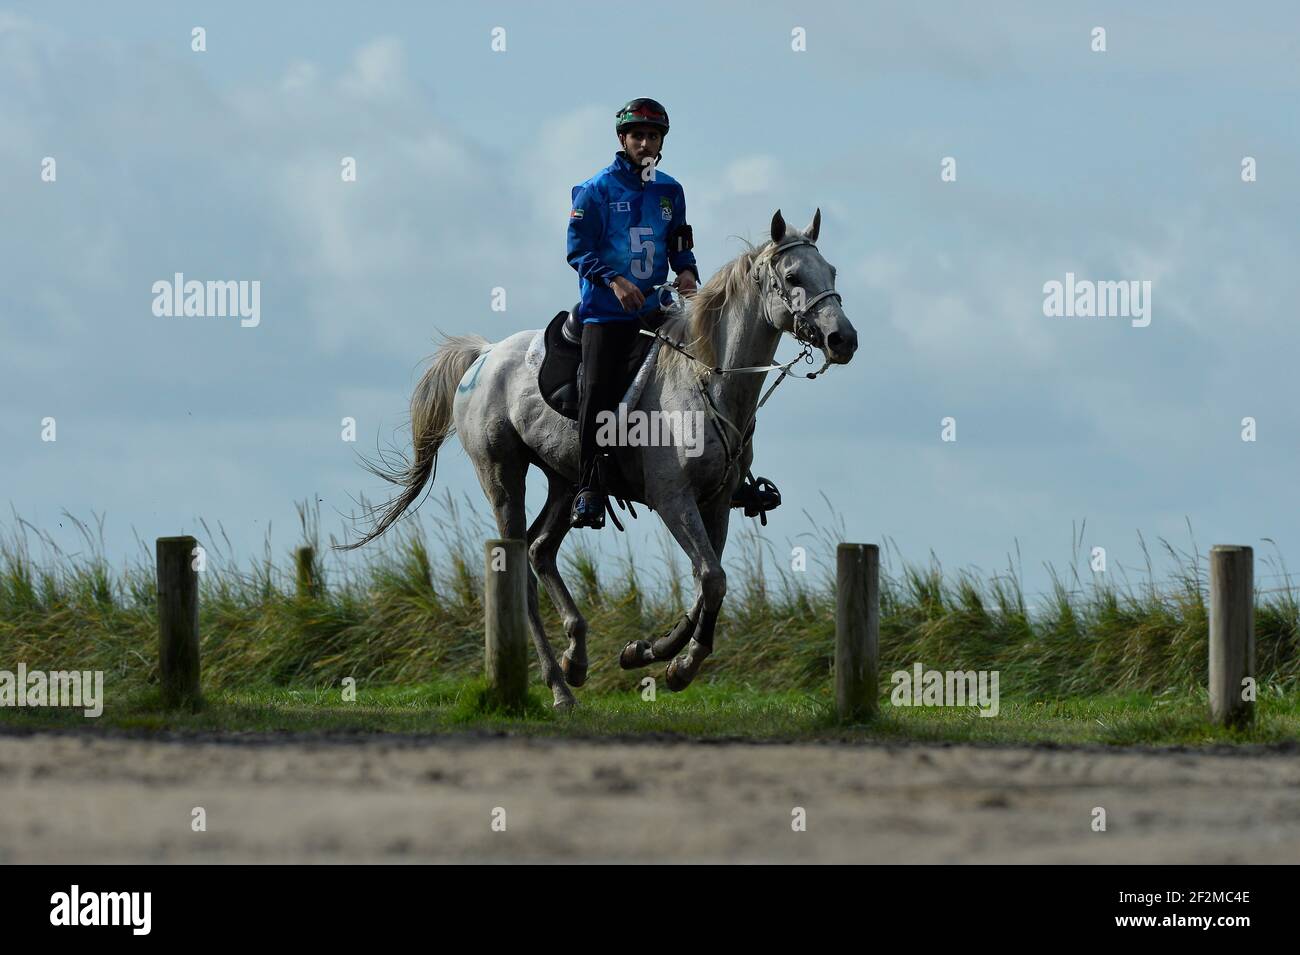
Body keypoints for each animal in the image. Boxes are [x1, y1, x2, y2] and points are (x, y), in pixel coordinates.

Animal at [340, 213, 857, 706]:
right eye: (792, 276)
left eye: (830, 271)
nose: (843, 340)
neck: (707, 378)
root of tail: (484, 355)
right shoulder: (673, 499)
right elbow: (711, 578)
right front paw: (673, 662)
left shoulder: (715, 502)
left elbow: (707, 583)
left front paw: (653, 654)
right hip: (503, 476)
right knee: (518, 569)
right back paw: (559, 687)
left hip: (567, 482)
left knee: (540, 549)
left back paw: (576, 659)